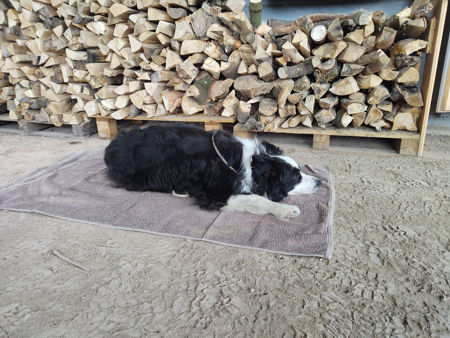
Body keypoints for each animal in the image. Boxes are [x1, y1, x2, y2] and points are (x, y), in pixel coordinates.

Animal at [104, 124, 320, 219]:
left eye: (300, 171)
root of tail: (111, 147)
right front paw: (286, 210)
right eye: (295, 176)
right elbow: (258, 199)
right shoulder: (217, 194)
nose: (319, 182)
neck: (250, 164)